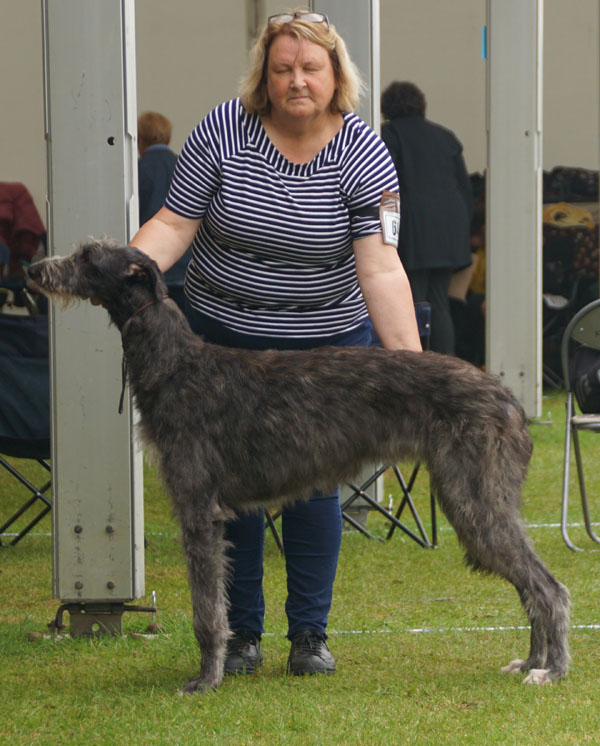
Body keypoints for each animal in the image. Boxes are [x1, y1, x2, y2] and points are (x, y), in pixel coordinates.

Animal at [28, 243, 568, 692]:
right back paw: (531, 660)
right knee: (532, 586)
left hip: (474, 500)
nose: (33, 270)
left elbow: (207, 612)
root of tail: (509, 399)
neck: (177, 364)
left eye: (86, 256)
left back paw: (552, 670)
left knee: (550, 588)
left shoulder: (198, 510)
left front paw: (205, 680)